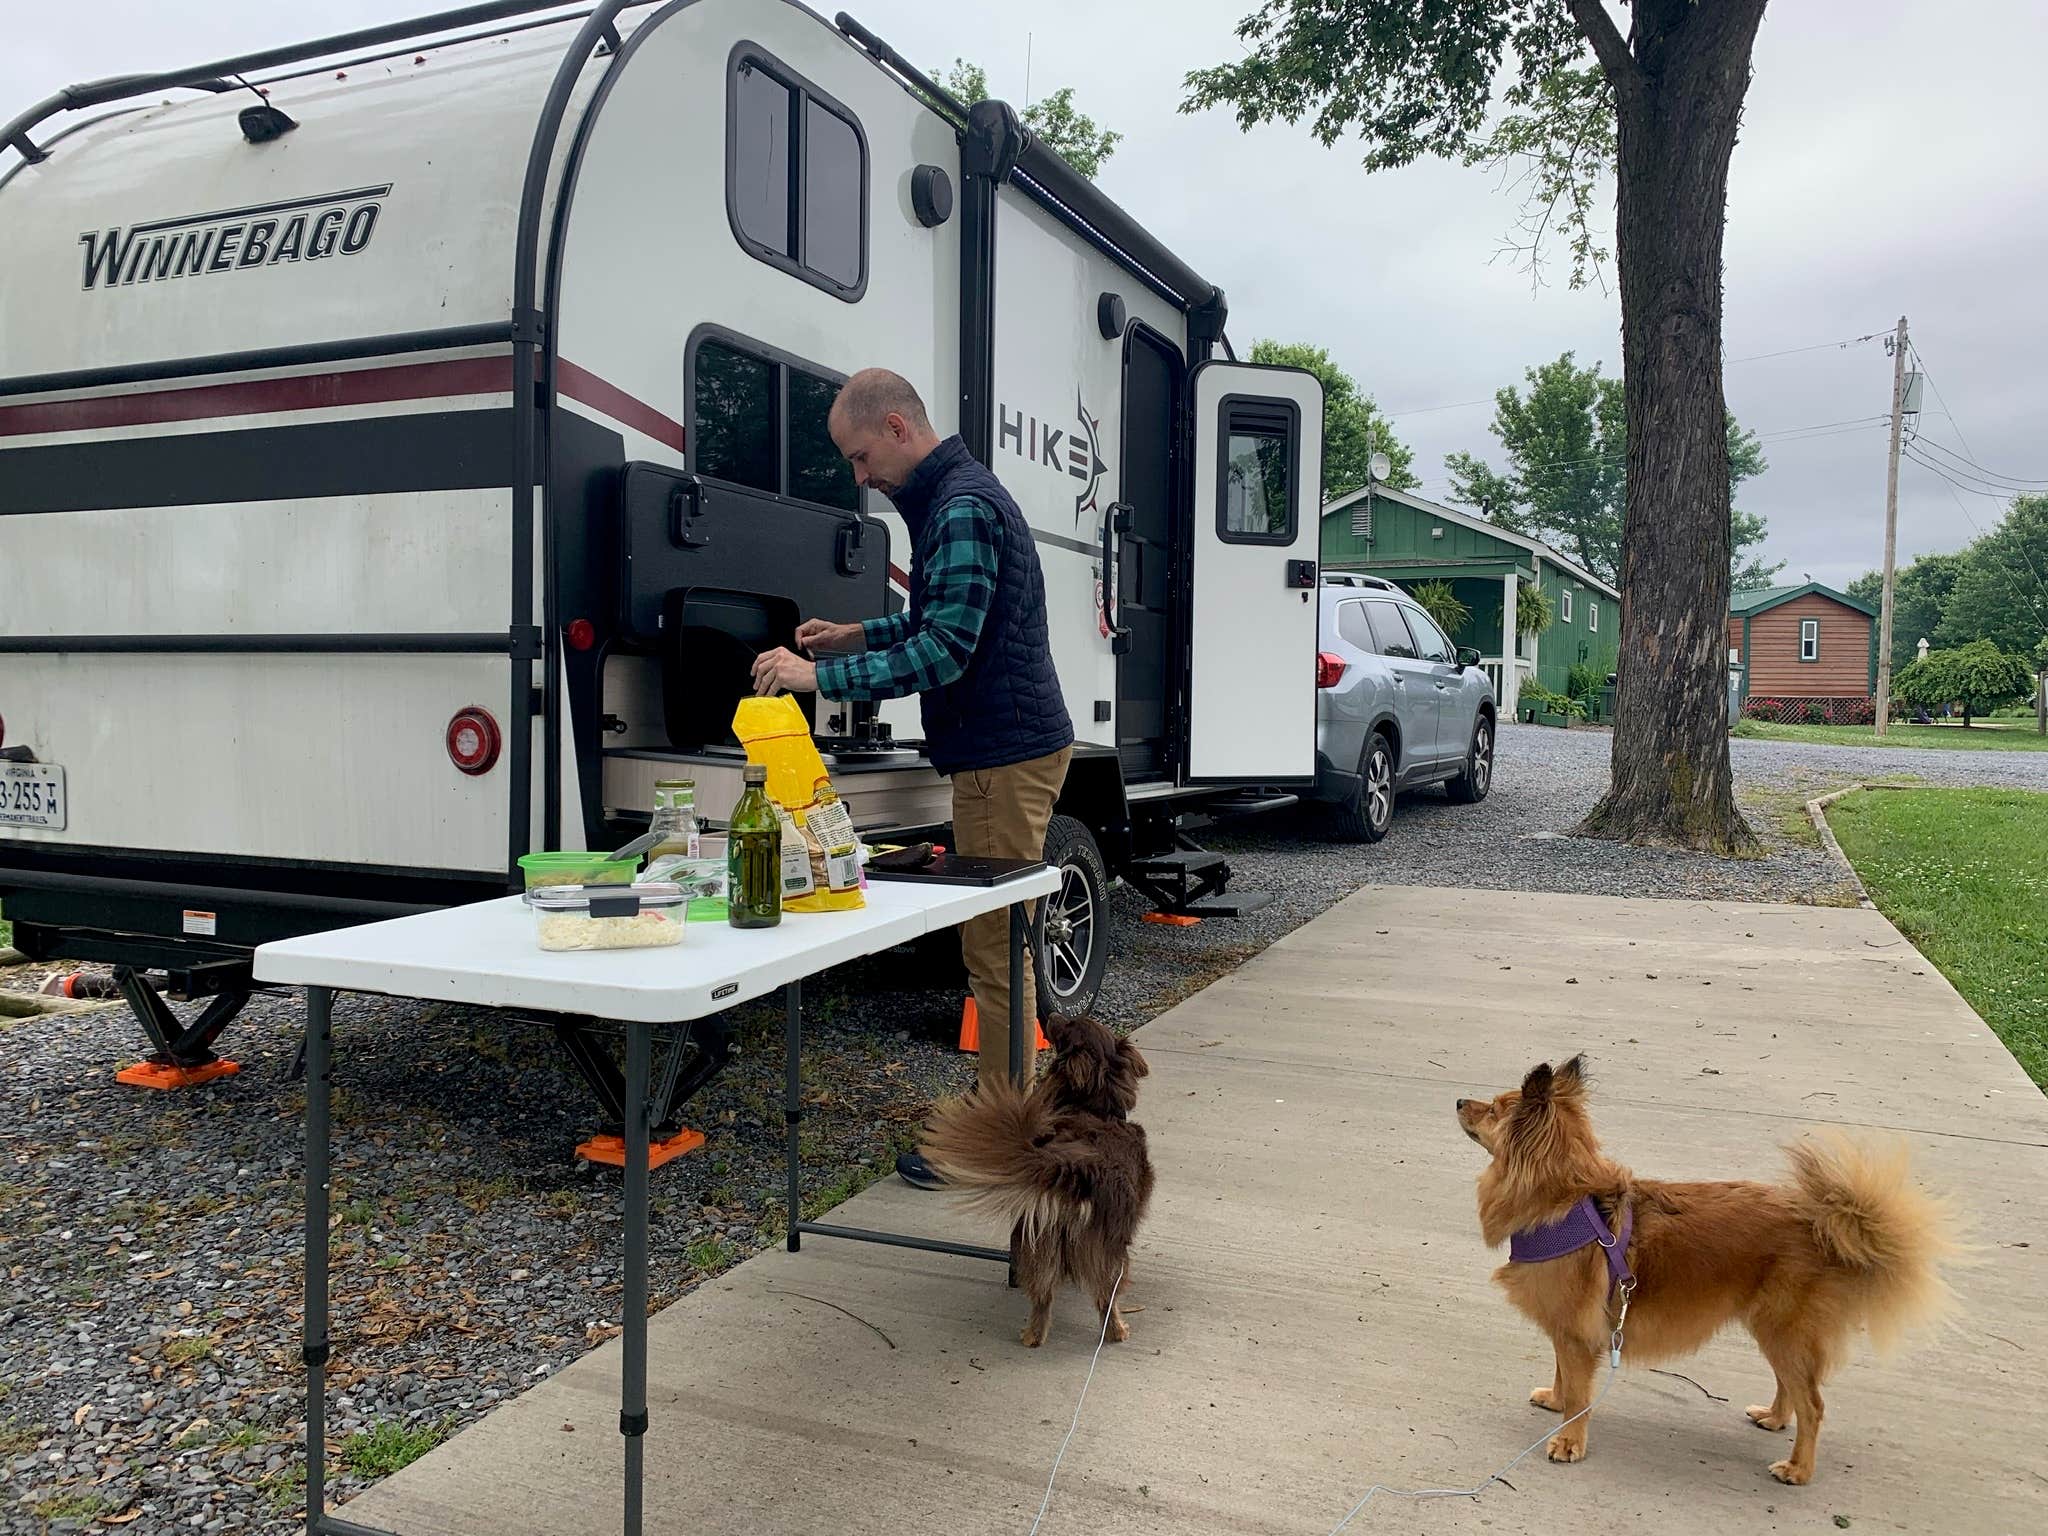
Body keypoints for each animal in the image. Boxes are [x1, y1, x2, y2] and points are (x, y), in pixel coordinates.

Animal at [925, 1024, 1155, 1343]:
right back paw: (1117, 1331)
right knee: (1105, 1298)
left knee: (1042, 1296)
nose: (1054, 1016)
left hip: (1037, 1240)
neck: (1094, 1109)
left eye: (1070, 1025)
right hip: (1106, 1251)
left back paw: (1033, 1336)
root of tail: (1075, 1171)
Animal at [1458, 1064, 1949, 1482]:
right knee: (1792, 1388)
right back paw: (1774, 1419)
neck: (1566, 1203)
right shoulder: (1568, 1328)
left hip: (1784, 1331)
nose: (1460, 1099)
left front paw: (1568, 1440)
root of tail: (1821, 1224)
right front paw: (1556, 1402)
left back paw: (1798, 1469)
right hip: (1775, 1332)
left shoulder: (1577, 1332)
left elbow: (1580, 1392)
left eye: (1496, 1109)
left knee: (1813, 1405)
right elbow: (1563, 1372)